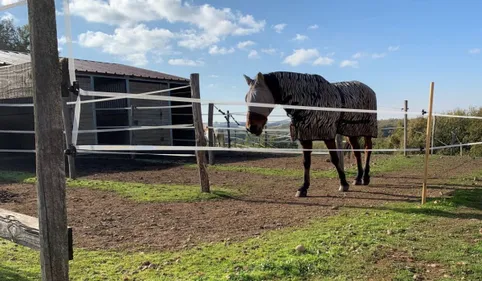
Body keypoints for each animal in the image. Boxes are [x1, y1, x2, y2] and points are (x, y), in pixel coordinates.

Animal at [245, 70, 376, 197]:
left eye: (259, 98)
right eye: (246, 99)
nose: (251, 128)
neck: (309, 101)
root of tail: (369, 89)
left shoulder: (327, 135)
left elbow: (334, 158)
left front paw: (343, 183)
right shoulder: (305, 137)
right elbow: (306, 162)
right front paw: (303, 188)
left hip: (367, 130)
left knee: (367, 149)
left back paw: (365, 178)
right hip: (351, 131)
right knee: (357, 152)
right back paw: (358, 178)